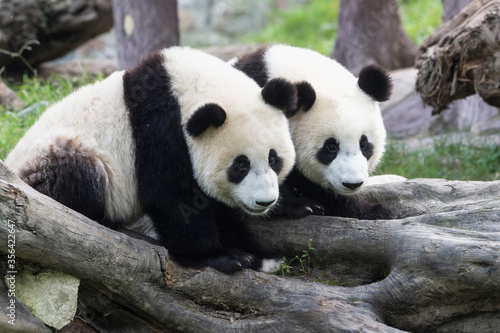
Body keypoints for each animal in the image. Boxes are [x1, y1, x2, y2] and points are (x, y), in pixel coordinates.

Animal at [4, 47, 296, 274]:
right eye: (240, 165)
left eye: (274, 159)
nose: (265, 202)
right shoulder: (160, 130)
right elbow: (173, 198)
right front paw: (220, 257)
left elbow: (215, 205)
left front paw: (261, 258)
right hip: (60, 155)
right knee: (74, 175)